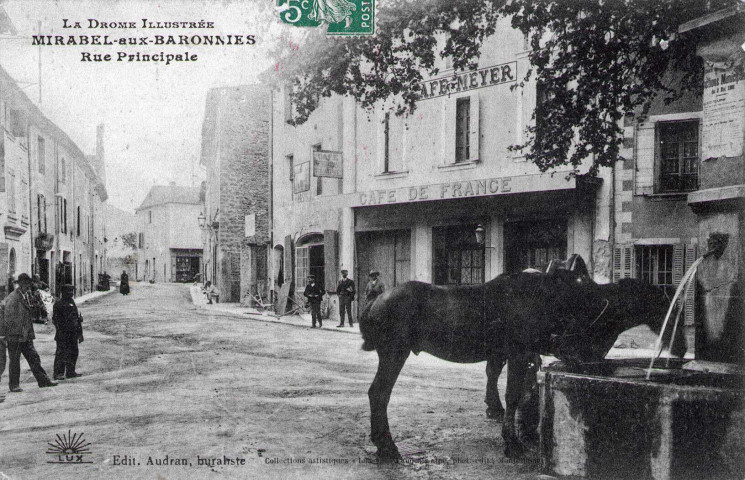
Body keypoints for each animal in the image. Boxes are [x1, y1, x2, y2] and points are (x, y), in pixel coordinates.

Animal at [360, 264, 684, 460]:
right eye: (667, 306)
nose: (681, 348)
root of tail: (374, 303)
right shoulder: (519, 352)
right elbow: (514, 395)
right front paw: (512, 442)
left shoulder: (530, 354)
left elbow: (525, 392)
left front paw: (524, 433)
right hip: (394, 352)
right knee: (379, 393)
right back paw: (387, 445)